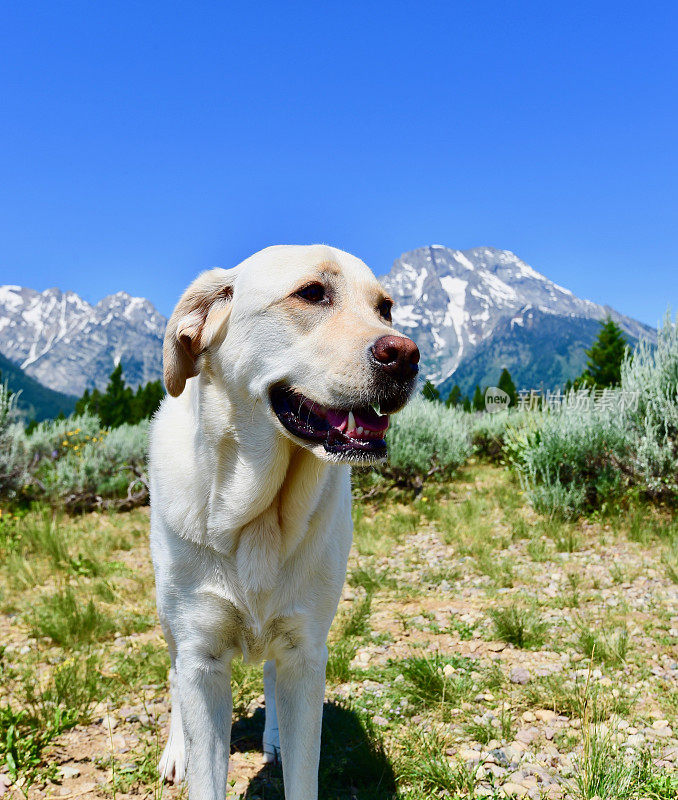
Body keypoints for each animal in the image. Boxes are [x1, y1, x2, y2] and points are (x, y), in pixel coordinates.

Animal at [150, 245, 420, 800]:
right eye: (311, 293)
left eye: (385, 308)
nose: (407, 354)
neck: (259, 516)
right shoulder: (202, 658)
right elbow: (203, 759)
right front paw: (186, 752)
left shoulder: (305, 653)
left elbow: (302, 770)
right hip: (170, 621)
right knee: (172, 674)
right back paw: (176, 750)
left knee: (271, 679)